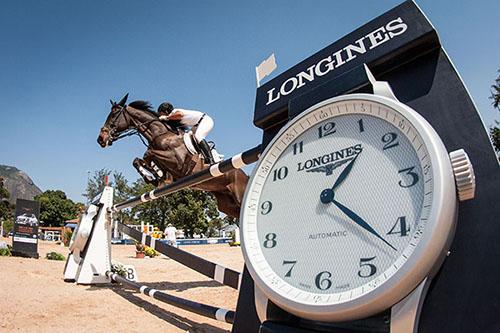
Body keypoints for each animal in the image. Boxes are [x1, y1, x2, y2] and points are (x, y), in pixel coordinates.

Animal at [96, 93, 248, 218]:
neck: (160, 134)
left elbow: (148, 154)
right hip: (227, 205)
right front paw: (153, 177)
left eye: (114, 114)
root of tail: (244, 175)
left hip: (239, 197)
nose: (100, 139)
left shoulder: (178, 162)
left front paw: (158, 177)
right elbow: (137, 160)